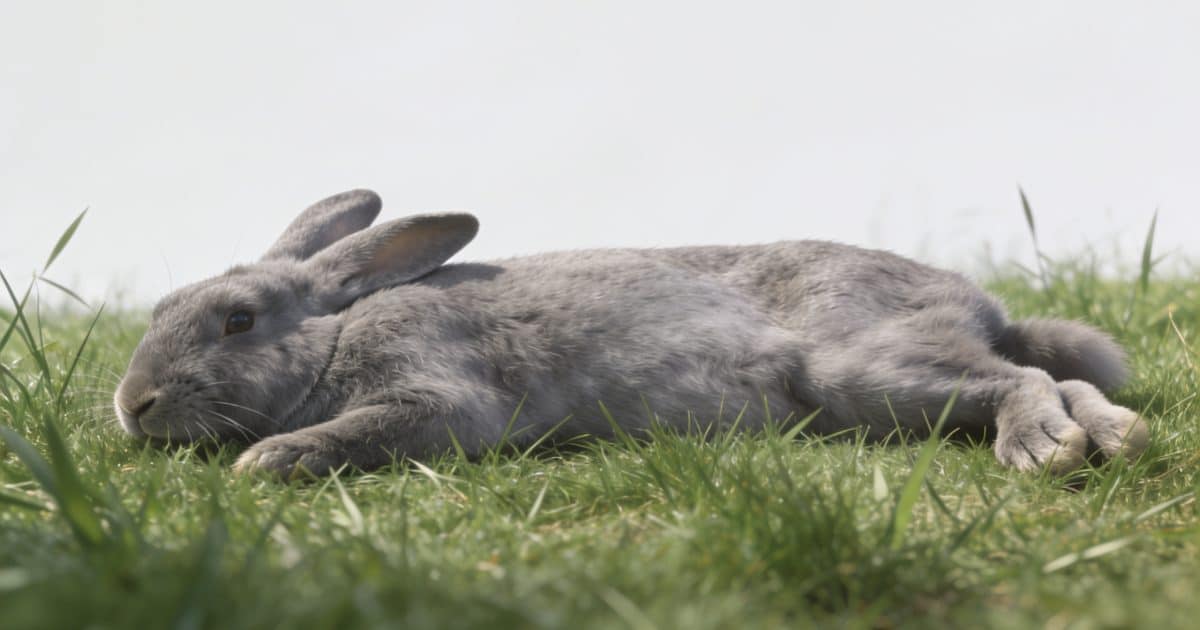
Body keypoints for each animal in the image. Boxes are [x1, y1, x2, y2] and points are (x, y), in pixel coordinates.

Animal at [113, 189, 1149, 477]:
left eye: (237, 320)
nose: (132, 406)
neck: (332, 336)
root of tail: (981, 305)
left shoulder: (432, 392)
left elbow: (356, 430)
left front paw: (267, 461)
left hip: (863, 372)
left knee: (1022, 383)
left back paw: (1042, 448)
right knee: (1062, 377)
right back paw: (1115, 435)